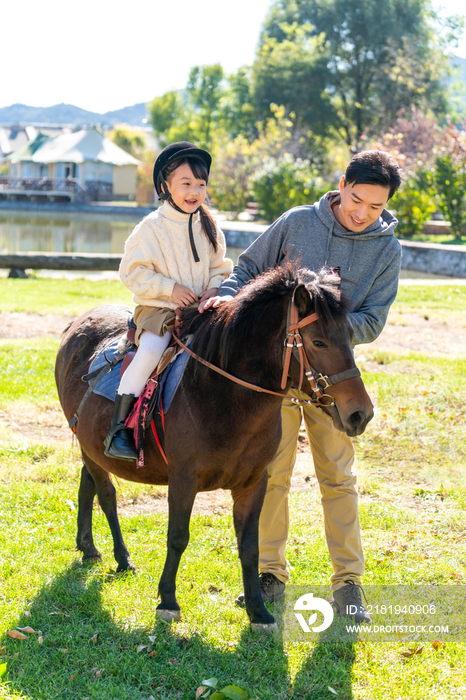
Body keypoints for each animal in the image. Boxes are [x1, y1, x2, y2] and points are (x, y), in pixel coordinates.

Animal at [55, 266, 374, 632]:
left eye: (350, 337)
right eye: (319, 341)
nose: (360, 413)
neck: (221, 396)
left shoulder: (254, 483)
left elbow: (250, 546)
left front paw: (258, 610)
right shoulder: (183, 480)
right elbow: (178, 537)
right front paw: (167, 600)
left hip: (89, 445)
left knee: (88, 483)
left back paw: (88, 546)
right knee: (106, 494)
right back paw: (121, 557)